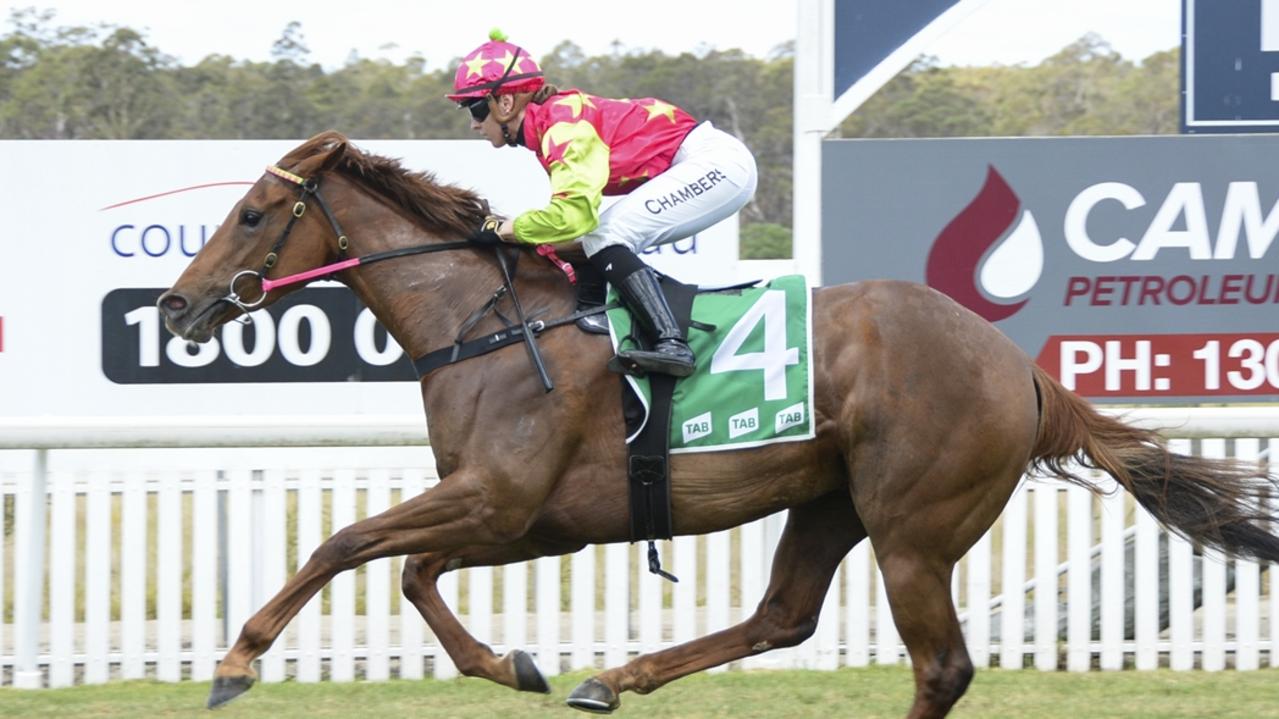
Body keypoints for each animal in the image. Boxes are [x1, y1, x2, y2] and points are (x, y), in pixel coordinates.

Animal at [157, 131, 1279, 711]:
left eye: (251, 215)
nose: (175, 305)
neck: (485, 323)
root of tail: (1024, 370)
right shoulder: (524, 517)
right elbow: (410, 573)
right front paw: (514, 664)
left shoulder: (496, 496)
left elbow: (343, 542)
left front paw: (235, 659)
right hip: (830, 499)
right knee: (783, 615)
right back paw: (613, 676)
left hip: (913, 525)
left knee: (942, 664)